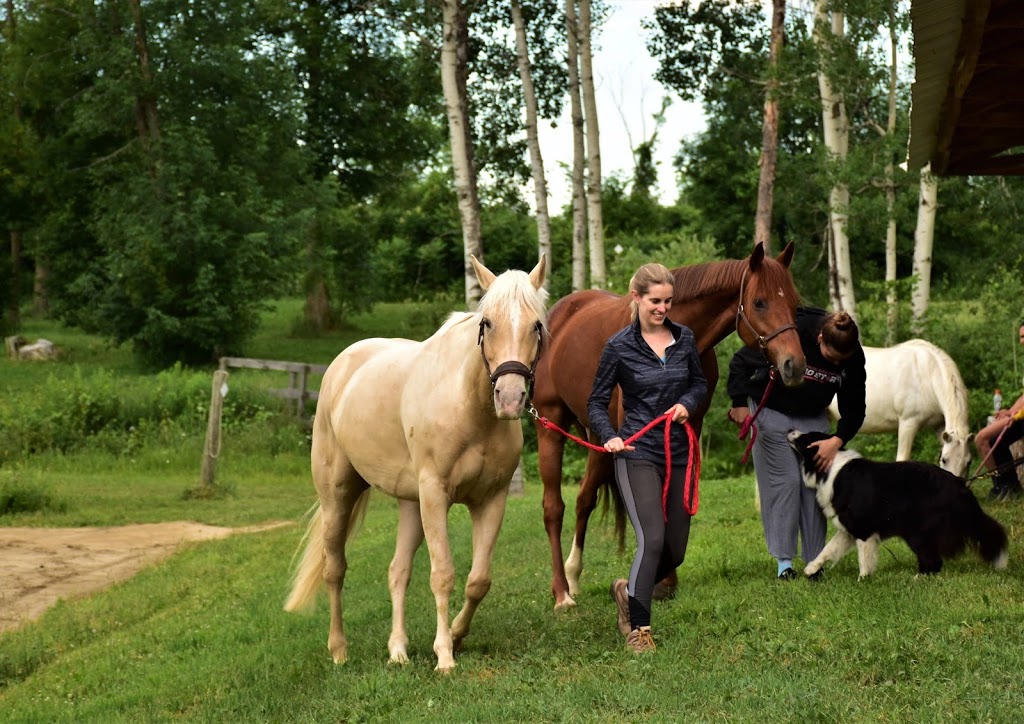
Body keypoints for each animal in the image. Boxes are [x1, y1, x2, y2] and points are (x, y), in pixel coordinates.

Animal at [284, 256, 548, 675]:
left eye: (536, 325)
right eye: (487, 323)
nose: (509, 398)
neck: (469, 407)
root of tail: (340, 367)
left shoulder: (491, 499)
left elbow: (479, 580)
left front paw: (456, 635)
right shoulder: (435, 495)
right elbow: (443, 575)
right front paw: (444, 656)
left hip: (410, 504)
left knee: (398, 571)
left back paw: (398, 650)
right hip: (338, 496)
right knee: (334, 568)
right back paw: (339, 649)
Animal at [536, 243, 806, 610]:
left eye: (793, 302)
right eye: (759, 302)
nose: (795, 366)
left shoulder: (687, 424)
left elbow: (674, 504)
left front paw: (666, 581)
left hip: (599, 441)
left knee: (584, 499)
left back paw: (574, 576)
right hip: (550, 425)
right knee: (554, 508)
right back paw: (562, 592)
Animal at [786, 430, 1003, 577]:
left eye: (806, 437)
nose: (789, 430)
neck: (830, 468)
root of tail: (959, 484)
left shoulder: (863, 528)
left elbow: (864, 559)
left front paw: (863, 580)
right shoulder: (848, 527)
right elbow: (828, 549)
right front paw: (811, 568)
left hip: (917, 530)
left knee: (933, 561)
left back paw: (918, 578)